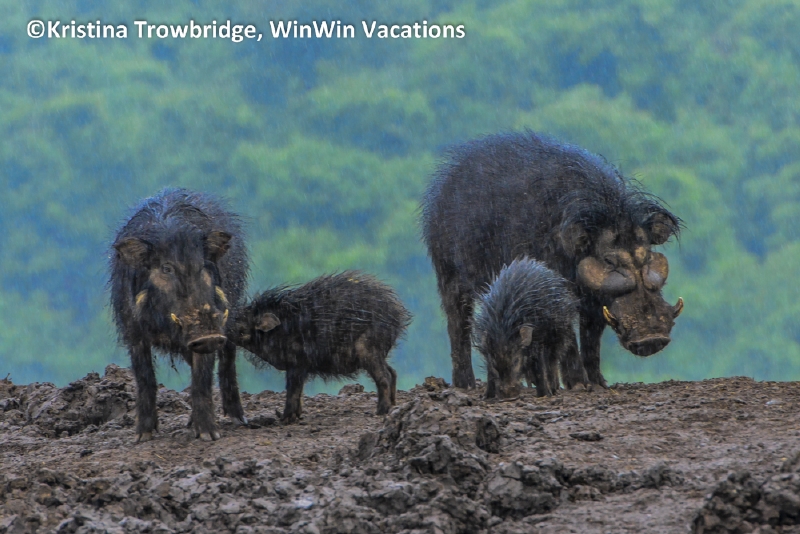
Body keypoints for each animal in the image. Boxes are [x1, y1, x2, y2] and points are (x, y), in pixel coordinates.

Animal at [109, 188, 248, 442]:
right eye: (166, 268)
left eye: (202, 266)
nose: (207, 335)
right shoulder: (133, 331)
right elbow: (145, 377)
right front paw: (143, 436)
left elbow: (202, 377)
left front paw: (209, 436)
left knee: (228, 357)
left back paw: (238, 419)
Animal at [233, 271, 412, 423]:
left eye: (240, 320)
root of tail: (398, 314)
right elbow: (299, 390)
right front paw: (296, 416)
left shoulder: (297, 363)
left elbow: (293, 389)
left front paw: (285, 419)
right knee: (392, 372)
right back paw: (393, 406)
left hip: (368, 349)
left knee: (384, 376)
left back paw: (381, 412)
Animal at [473, 258, 578, 399]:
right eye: (495, 363)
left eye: (516, 361)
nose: (508, 393)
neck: (503, 326)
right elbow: (490, 373)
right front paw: (486, 396)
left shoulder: (538, 339)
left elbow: (540, 368)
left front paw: (544, 395)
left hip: (559, 336)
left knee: (552, 361)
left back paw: (554, 389)